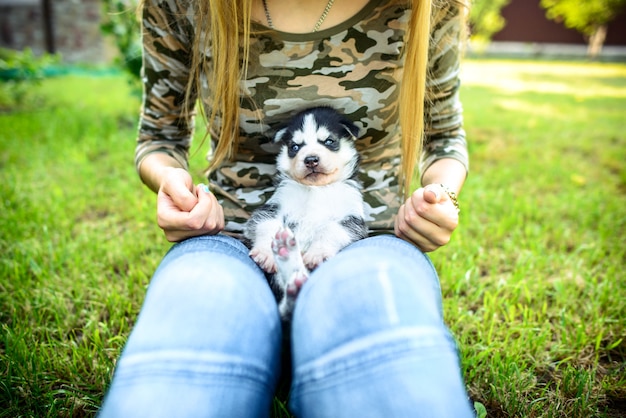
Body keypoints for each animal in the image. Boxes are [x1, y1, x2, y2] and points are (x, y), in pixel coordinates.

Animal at [244, 108, 368, 320]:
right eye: (295, 147)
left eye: (329, 141)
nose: (310, 160)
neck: (316, 189)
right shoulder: (273, 207)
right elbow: (266, 224)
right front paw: (265, 252)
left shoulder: (351, 219)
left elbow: (330, 230)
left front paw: (318, 252)